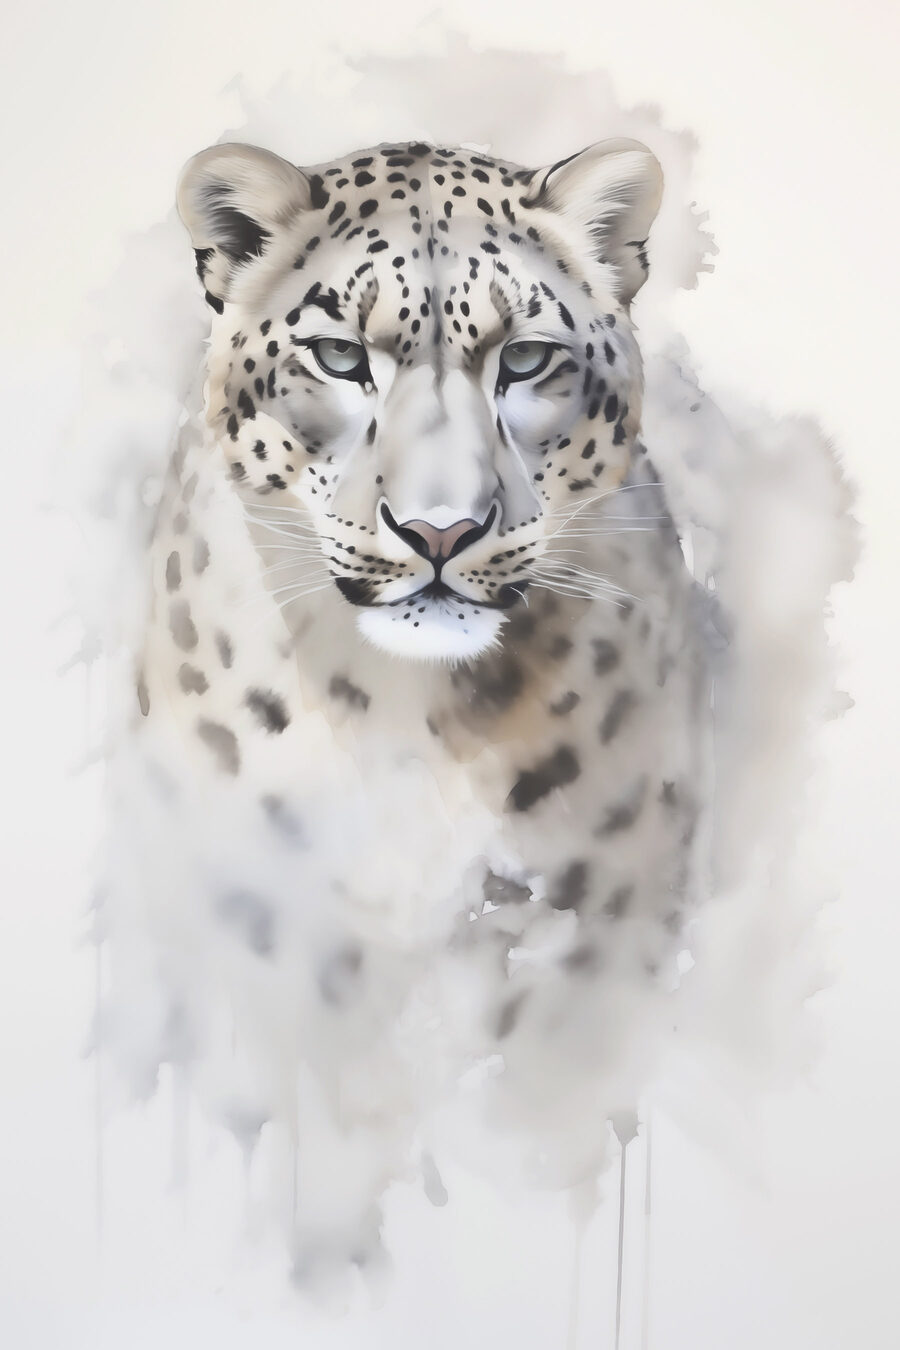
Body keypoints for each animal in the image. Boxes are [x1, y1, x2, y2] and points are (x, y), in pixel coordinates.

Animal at [121, 134, 711, 1283]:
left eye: (524, 360)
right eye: (339, 355)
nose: (441, 530)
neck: (405, 718)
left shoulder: (599, 903)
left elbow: (549, 1094)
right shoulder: (256, 901)